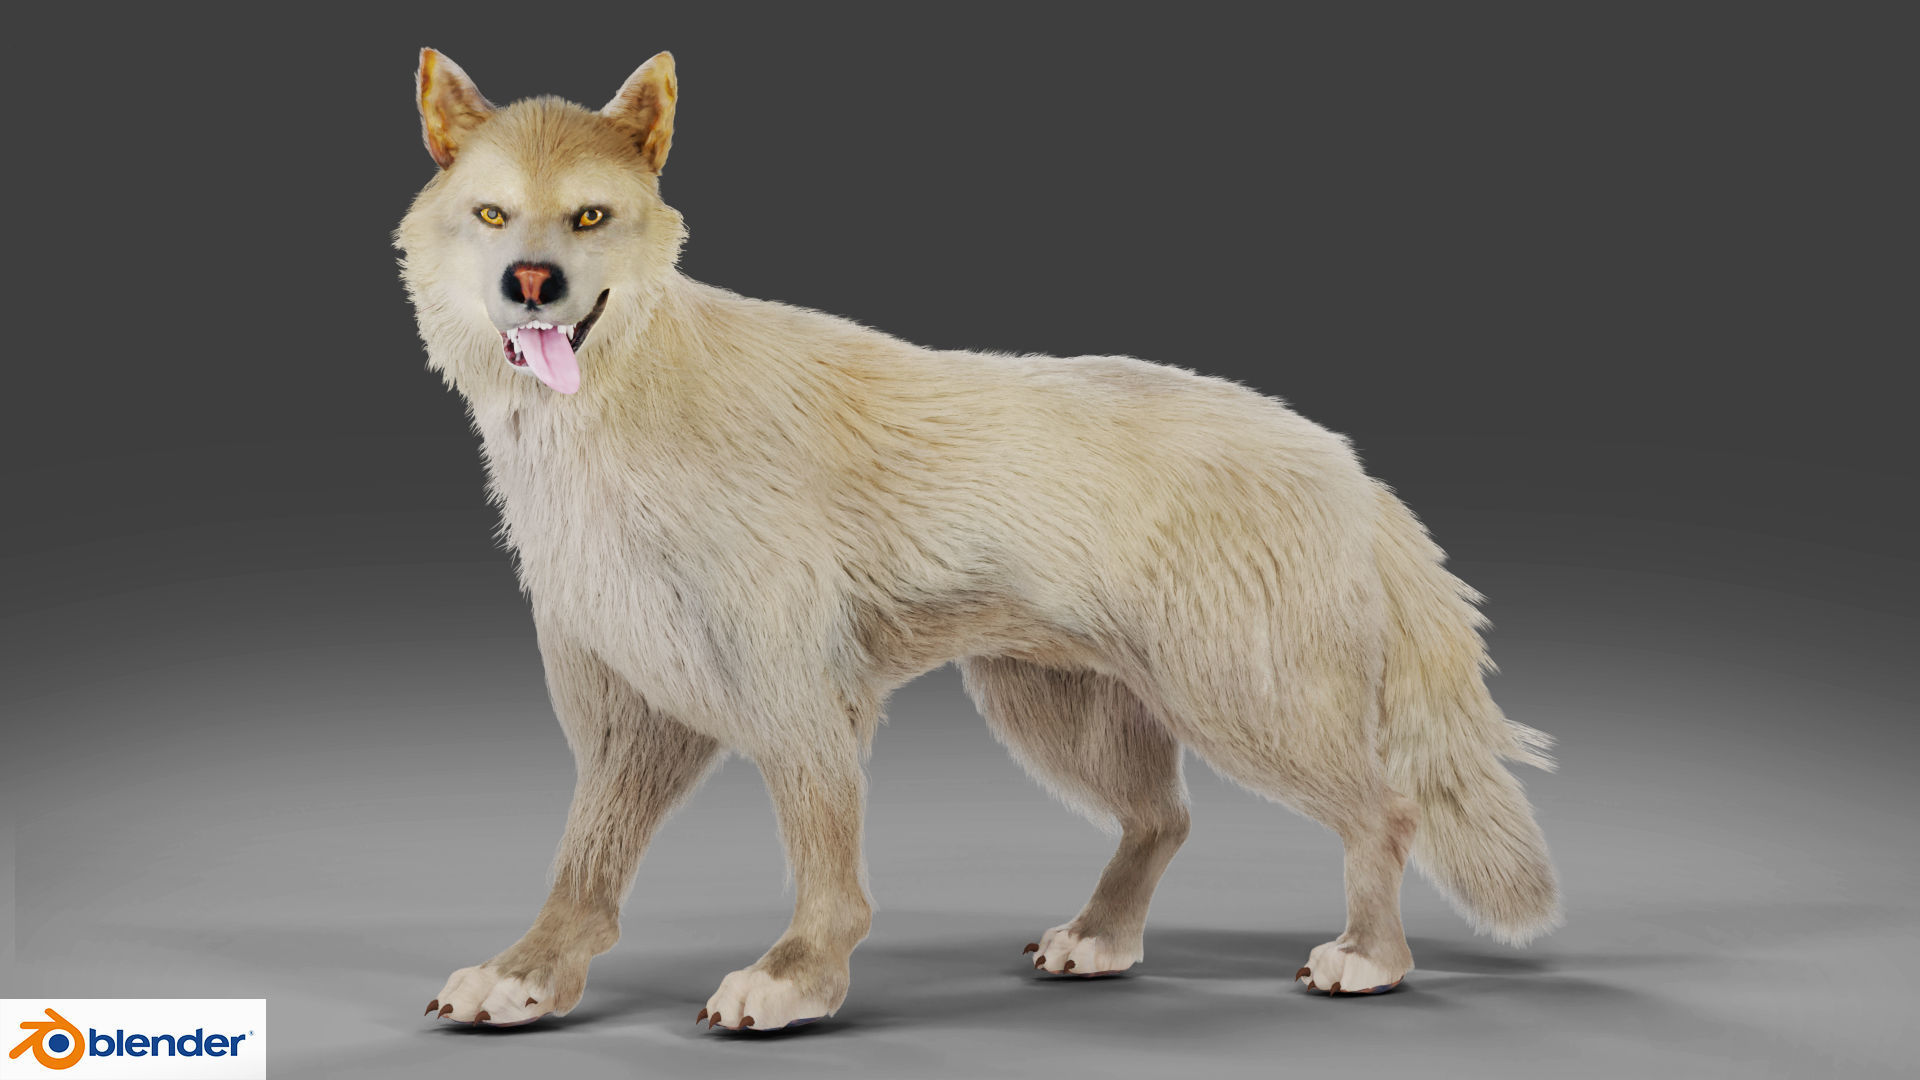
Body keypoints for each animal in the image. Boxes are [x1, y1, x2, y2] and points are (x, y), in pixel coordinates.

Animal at [397, 48, 1561, 1032]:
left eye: (590, 214)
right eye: (492, 213)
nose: (533, 282)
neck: (614, 410)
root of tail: (1348, 468)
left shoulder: (798, 702)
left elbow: (825, 868)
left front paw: (797, 980)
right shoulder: (633, 717)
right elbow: (585, 862)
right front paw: (530, 972)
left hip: (1244, 702)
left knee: (1386, 811)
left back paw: (1369, 958)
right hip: (1057, 709)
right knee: (1166, 819)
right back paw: (1101, 937)